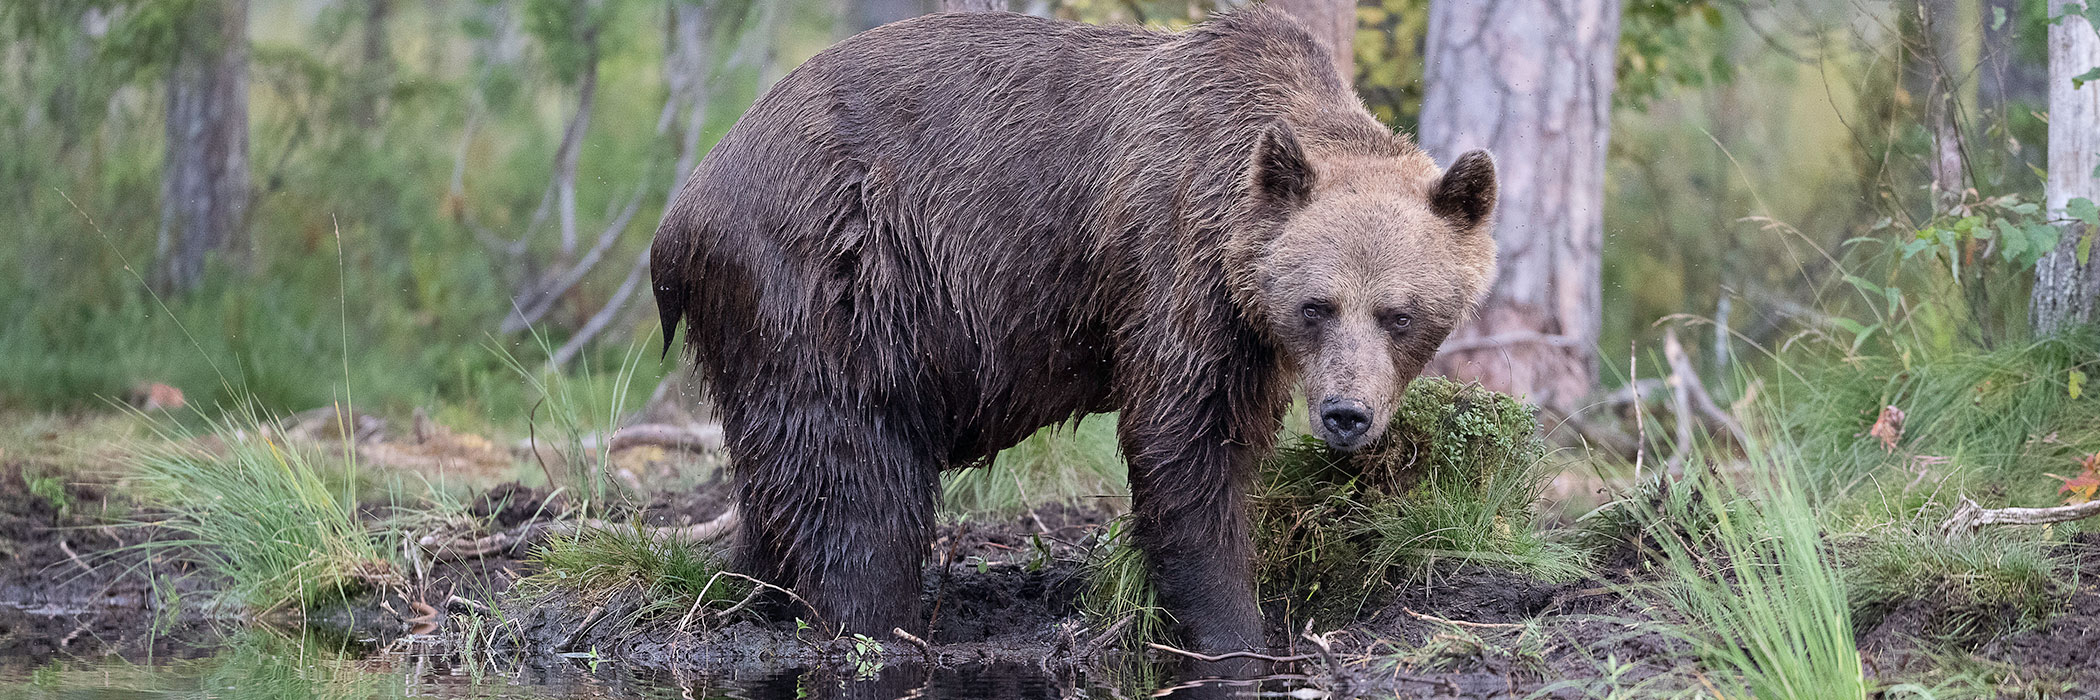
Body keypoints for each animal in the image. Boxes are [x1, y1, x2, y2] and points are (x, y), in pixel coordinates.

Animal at [649, 6, 1497, 653]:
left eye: (1399, 313)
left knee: (779, 469)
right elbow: (1185, 445)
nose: (1345, 414)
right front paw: (1234, 630)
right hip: (826, 277)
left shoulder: (1248, 336)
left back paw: (751, 588)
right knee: (856, 473)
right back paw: (871, 622)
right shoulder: (1175, 268)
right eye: (1316, 305)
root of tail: (682, 212)